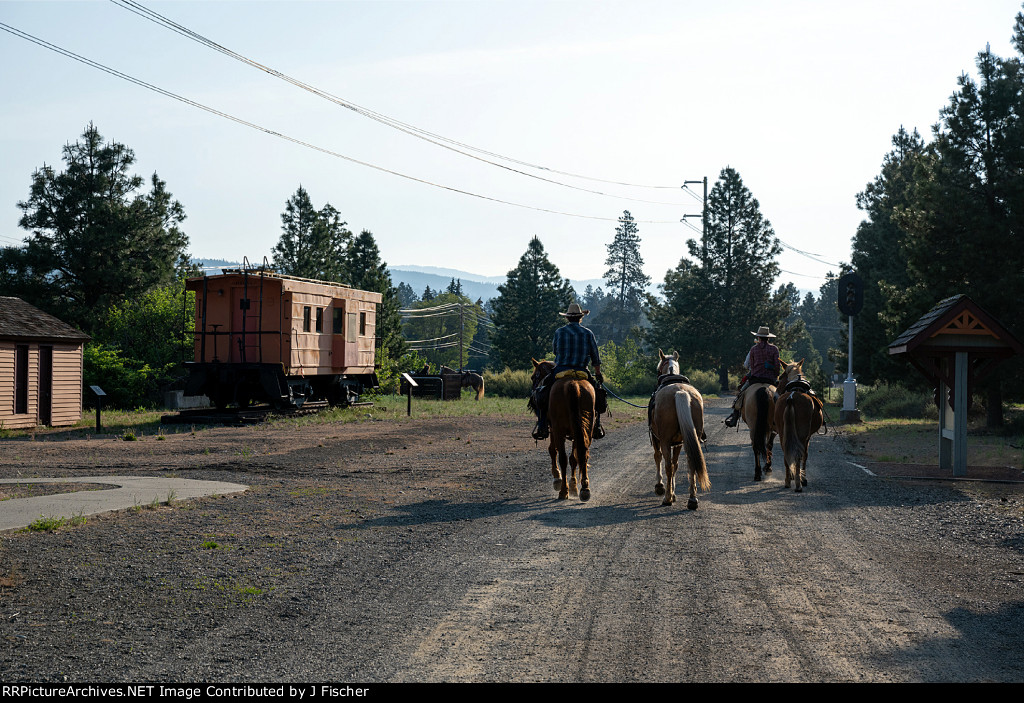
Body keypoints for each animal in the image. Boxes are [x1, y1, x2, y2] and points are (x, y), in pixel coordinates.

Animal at [532, 360, 598, 503]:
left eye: (534, 377)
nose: (533, 391)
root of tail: (573, 385)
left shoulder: (553, 429)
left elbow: (553, 450)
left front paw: (557, 478)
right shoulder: (575, 433)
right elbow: (574, 458)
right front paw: (574, 486)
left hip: (559, 430)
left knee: (562, 458)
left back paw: (563, 491)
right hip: (586, 428)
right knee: (582, 453)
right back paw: (584, 489)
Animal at [647, 352, 712, 511]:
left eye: (658, 369)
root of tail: (680, 392)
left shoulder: (657, 438)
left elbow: (659, 458)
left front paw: (662, 487)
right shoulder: (679, 443)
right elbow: (676, 464)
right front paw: (673, 491)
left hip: (664, 440)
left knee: (667, 465)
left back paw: (667, 498)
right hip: (690, 438)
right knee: (691, 464)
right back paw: (692, 499)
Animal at [774, 360, 823, 493]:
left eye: (780, 378)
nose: (775, 396)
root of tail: (791, 397)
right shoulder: (807, 437)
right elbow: (805, 455)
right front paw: (803, 479)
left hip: (783, 434)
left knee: (786, 455)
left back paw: (787, 481)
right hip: (801, 435)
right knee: (798, 455)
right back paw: (798, 484)